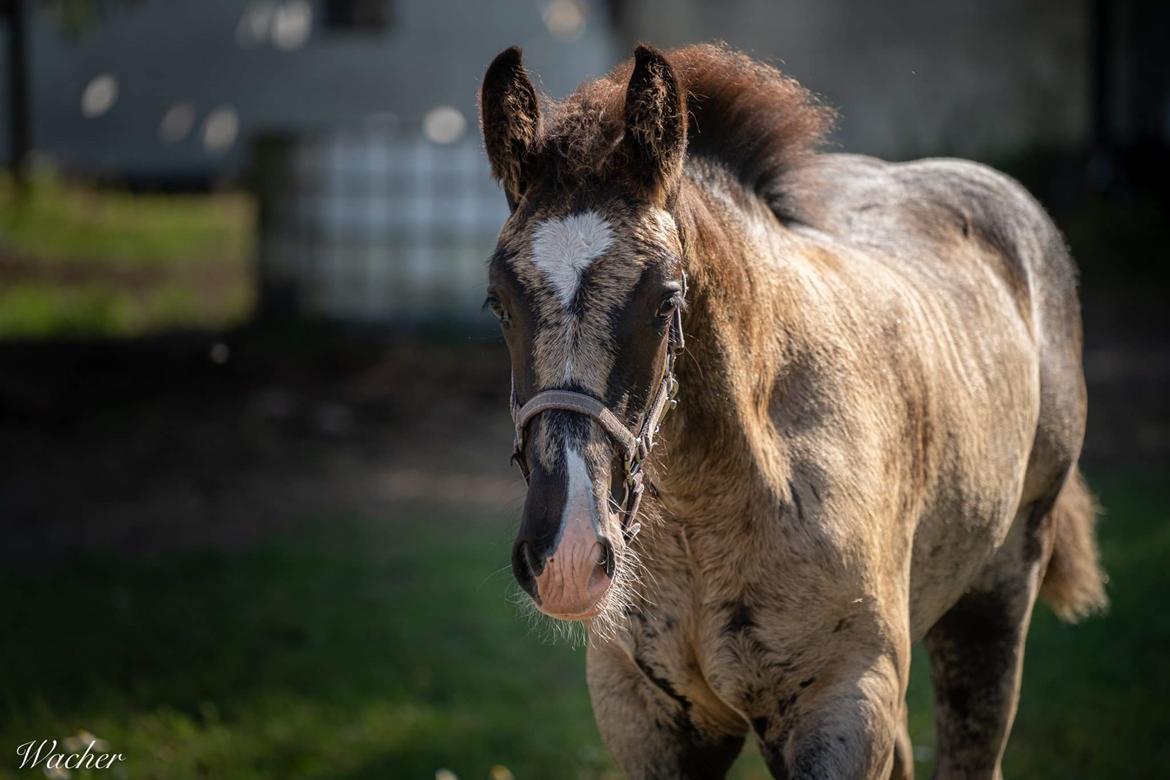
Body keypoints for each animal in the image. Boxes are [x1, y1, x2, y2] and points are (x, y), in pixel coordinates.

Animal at [477, 45, 1104, 776]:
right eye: (498, 300)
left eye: (665, 300)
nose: (568, 556)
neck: (707, 514)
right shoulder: (643, 712)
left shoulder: (843, 704)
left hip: (995, 598)